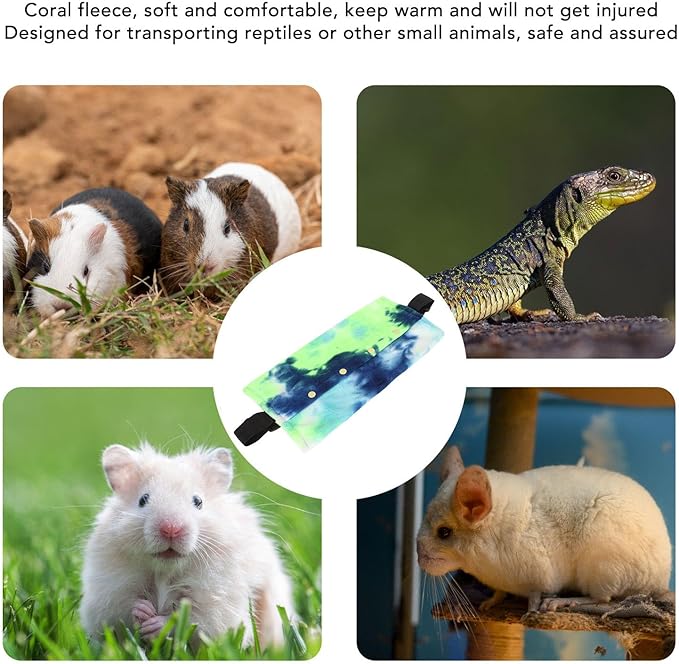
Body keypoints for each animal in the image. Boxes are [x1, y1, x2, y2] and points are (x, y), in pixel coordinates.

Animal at [80, 444, 294, 648]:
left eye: (198, 501)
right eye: (143, 499)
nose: (170, 529)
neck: (165, 570)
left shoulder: (217, 604)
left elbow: (194, 621)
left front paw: (157, 624)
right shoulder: (107, 595)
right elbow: (120, 612)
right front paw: (143, 610)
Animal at [417, 446, 671, 612]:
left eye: (444, 532)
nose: (420, 560)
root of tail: (661, 579)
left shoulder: (540, 575)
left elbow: (535, 593)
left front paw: (532, 609)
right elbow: (499, 593)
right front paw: (489, 603)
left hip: (603, 568)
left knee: (603, 600)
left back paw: (560, 602)